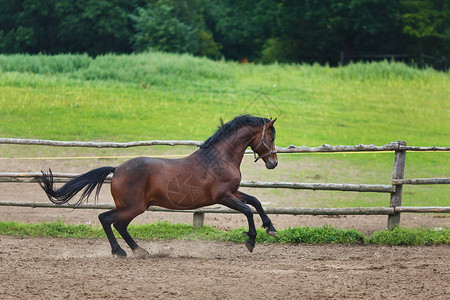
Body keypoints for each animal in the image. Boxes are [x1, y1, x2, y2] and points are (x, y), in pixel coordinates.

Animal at [38, 116, 278, 256]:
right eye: (271, 137)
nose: (273, 163)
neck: (220, 158)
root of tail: (117, 169)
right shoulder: (223, 196)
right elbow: (248, 210)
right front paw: (251, 240)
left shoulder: (233, 192)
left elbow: (256, 202)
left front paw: (271, 228)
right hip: (132, 206)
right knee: (106, 219)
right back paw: (120, 252)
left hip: (136, 207)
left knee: (120, 225)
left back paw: (139, 250)